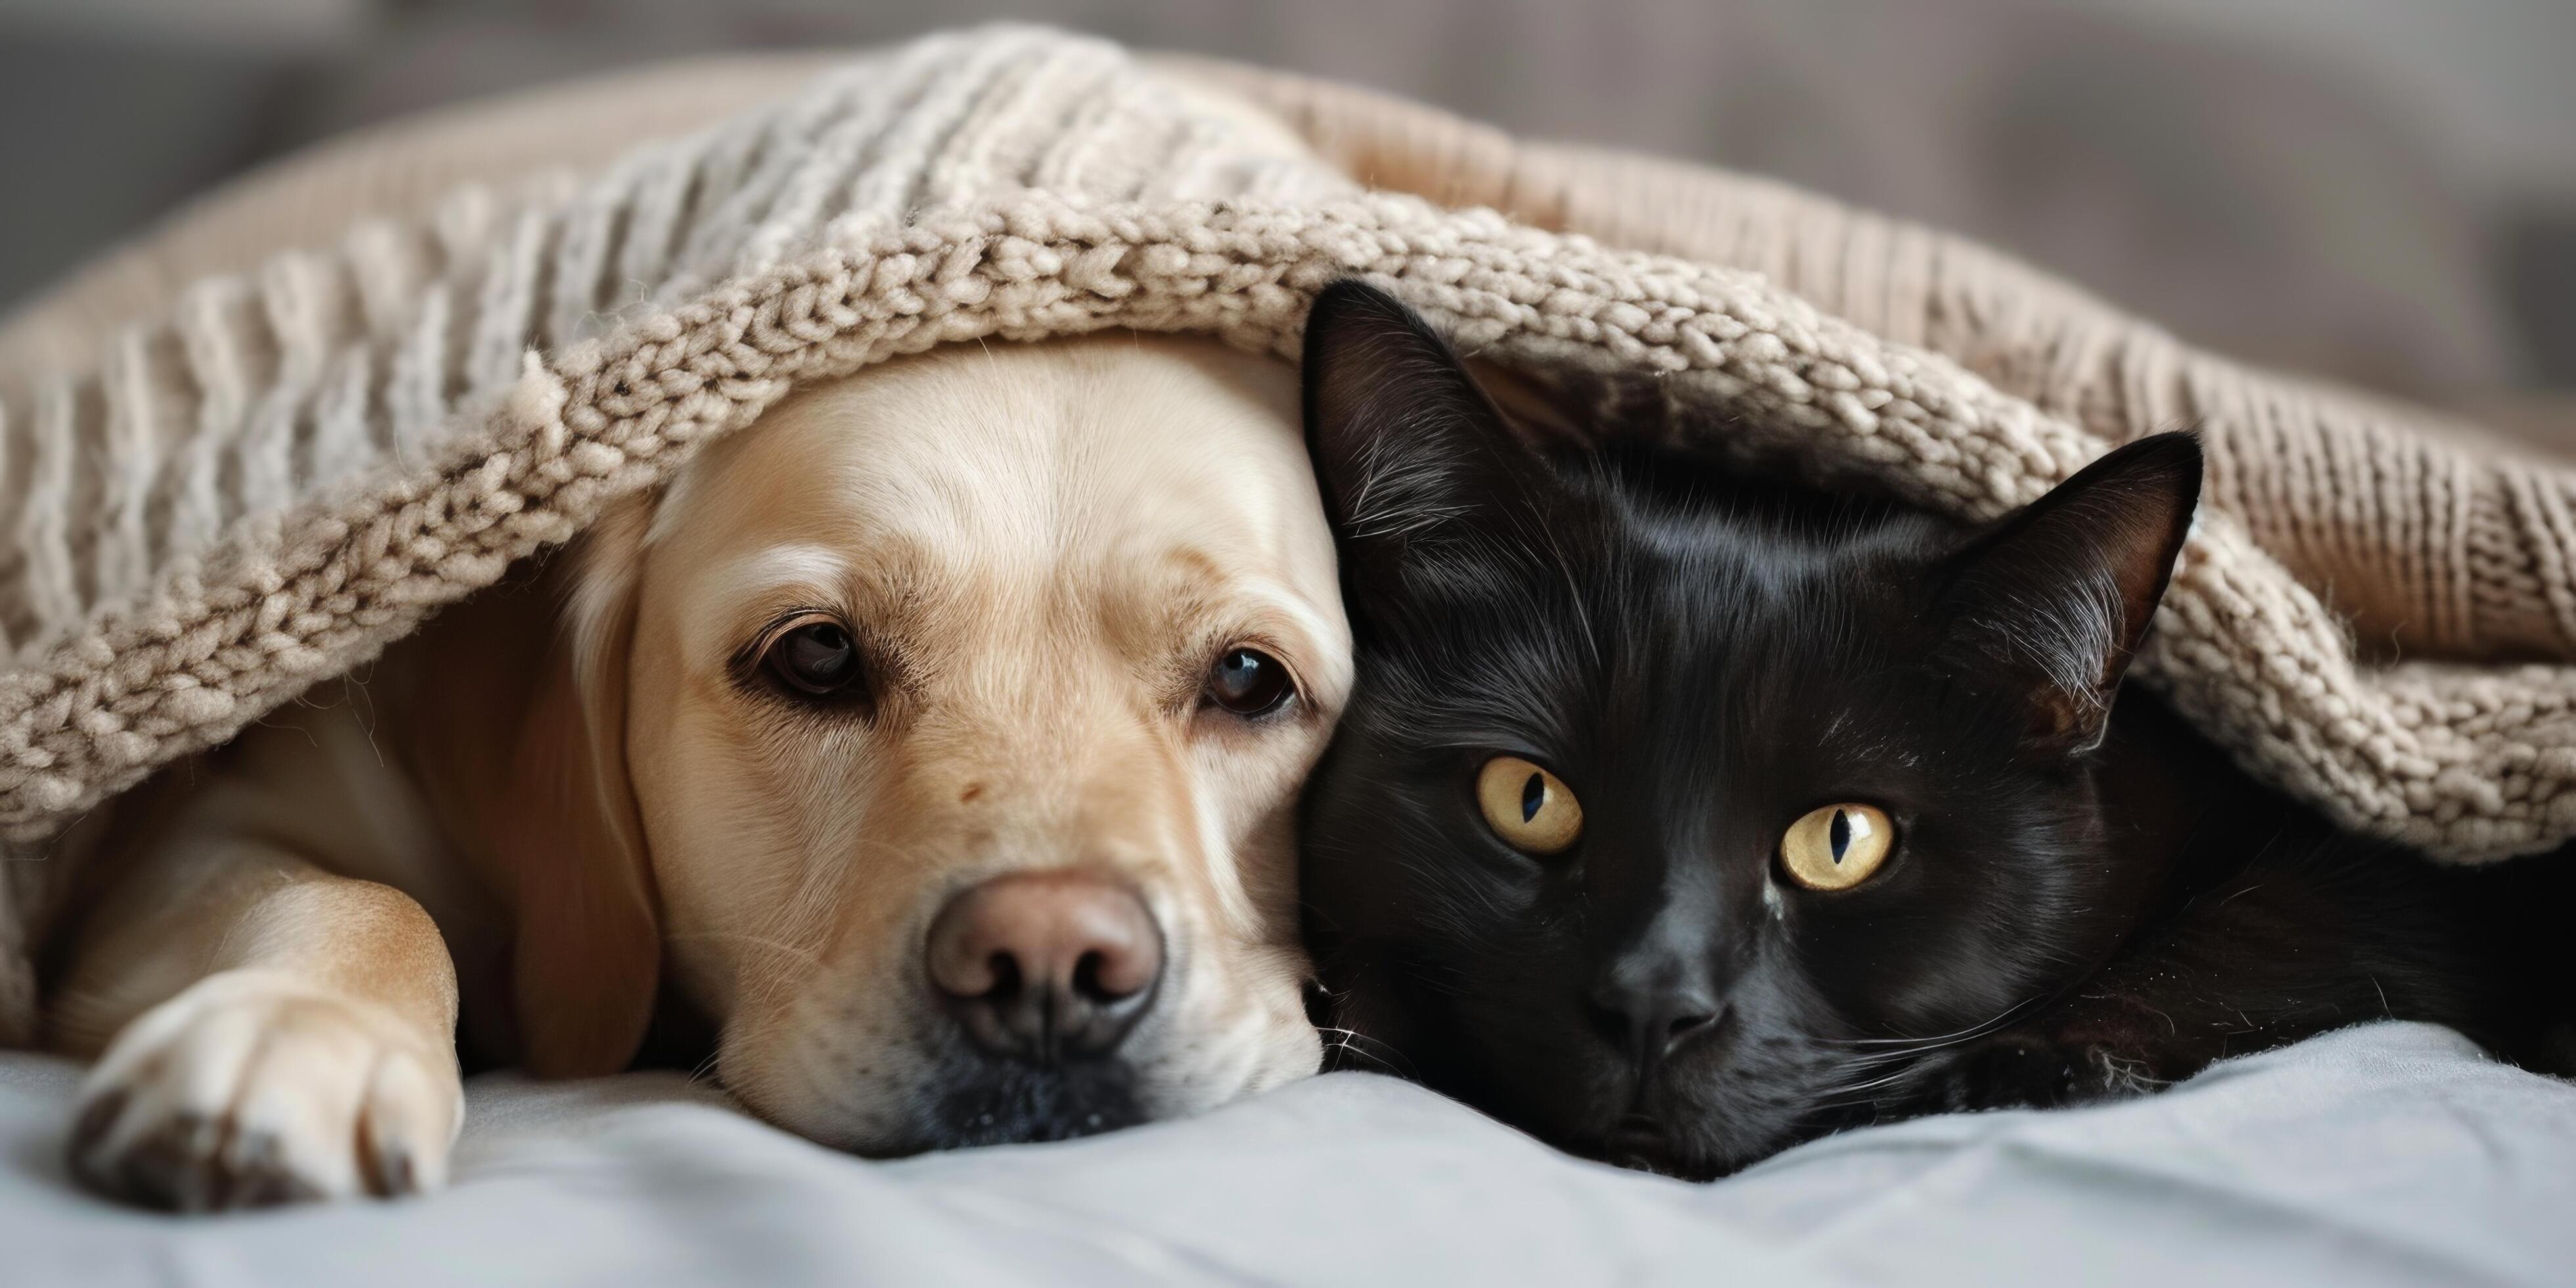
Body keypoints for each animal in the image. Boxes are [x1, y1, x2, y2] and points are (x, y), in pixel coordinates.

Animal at [40, 337, 1350, 1210]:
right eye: (817, 656)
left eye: (1249, 679)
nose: (1047, 973)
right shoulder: (204, 830)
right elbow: (366, 898)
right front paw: (300, 1030)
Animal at [1298, 279, 2565, 1180]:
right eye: (1528, 800)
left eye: (1842, 841)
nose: (1657, 1004)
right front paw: (1358, 1008)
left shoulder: (2405, 890)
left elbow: (2266, 928)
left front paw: (2032, 1069)